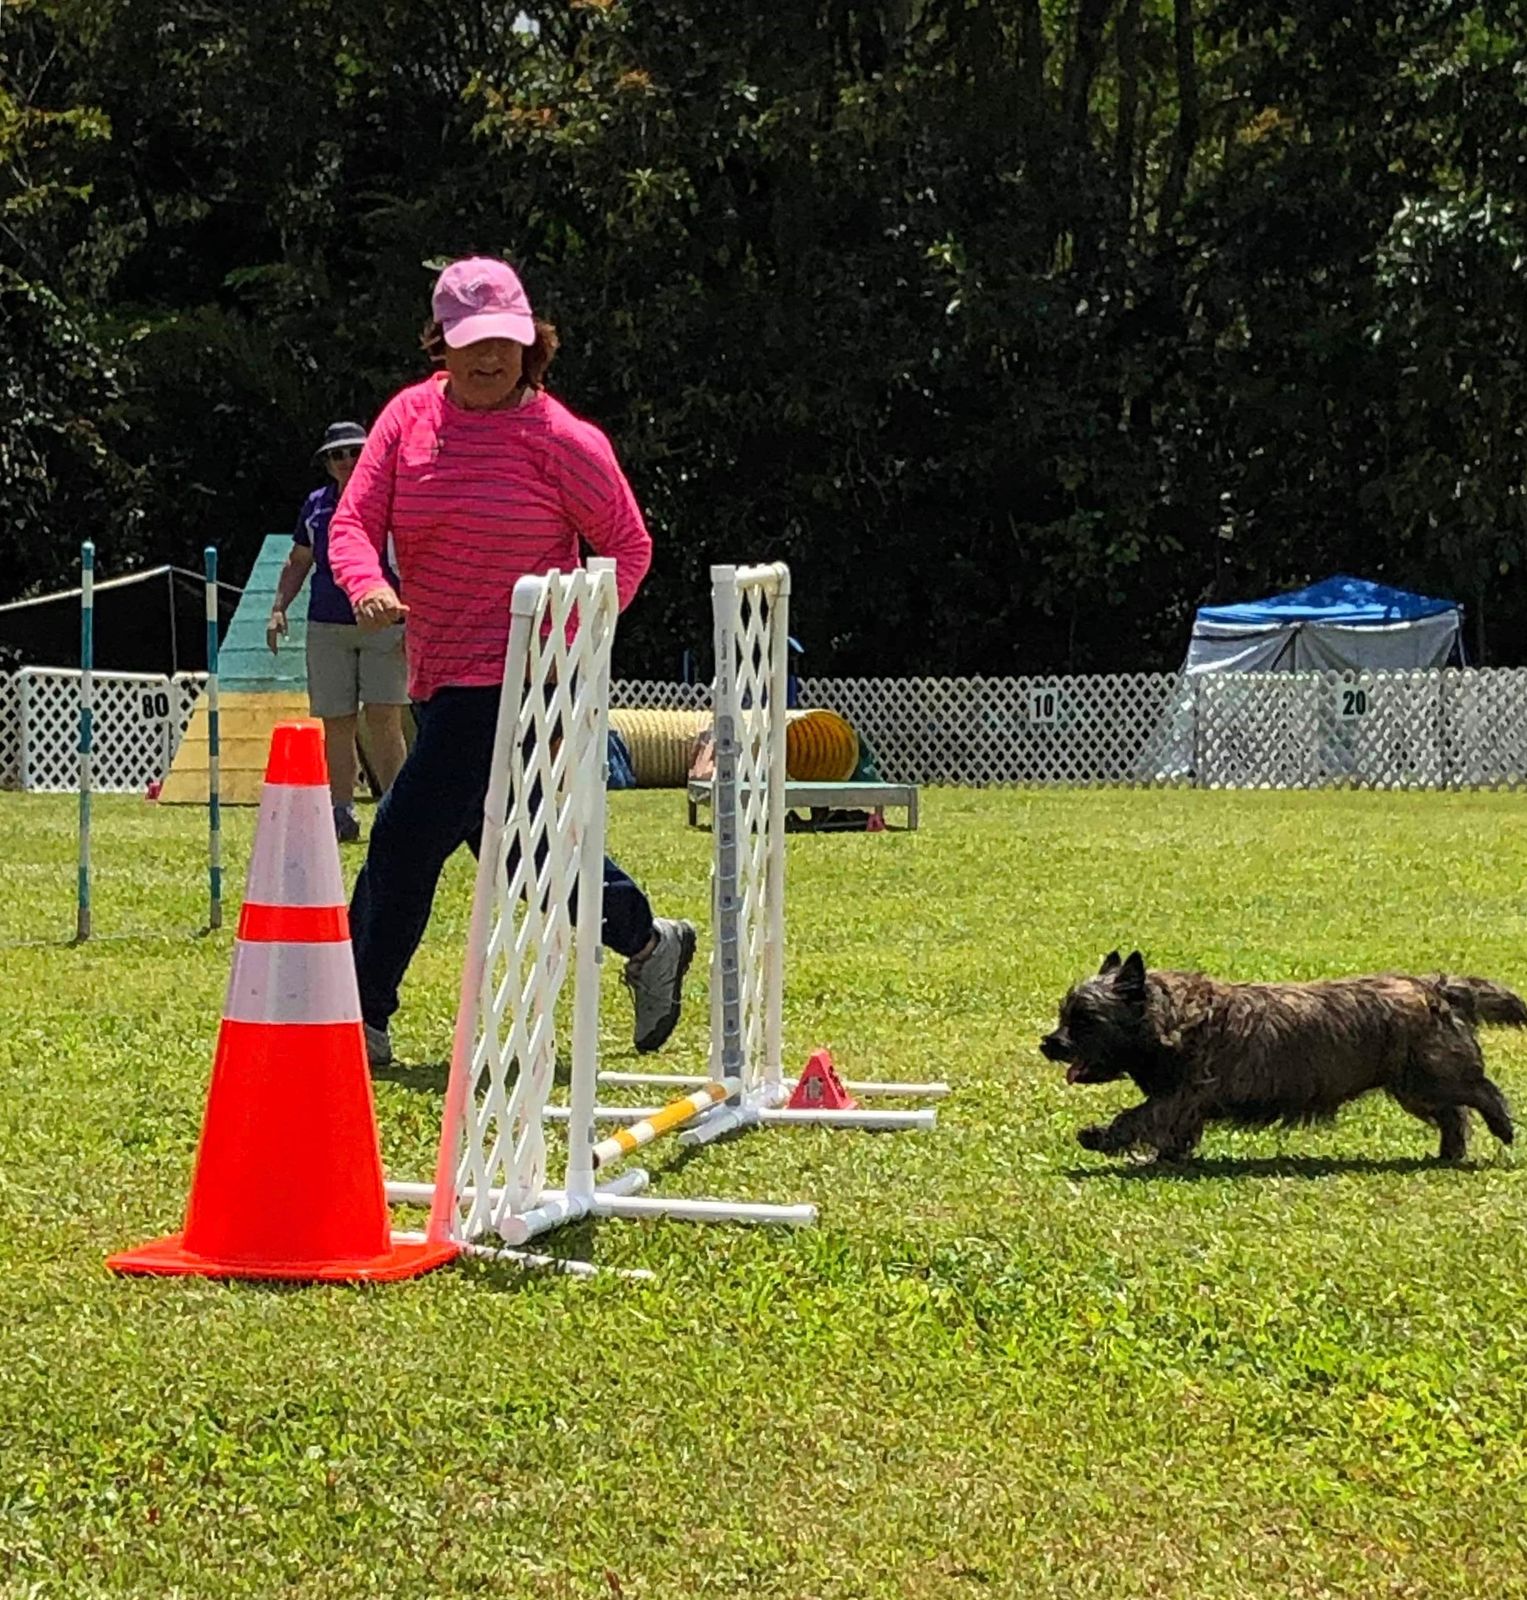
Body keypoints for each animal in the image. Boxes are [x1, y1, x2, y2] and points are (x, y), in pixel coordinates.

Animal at [1040, 951, 1522, 1162]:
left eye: (1086, 1020)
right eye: (1065, 1014)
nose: (1049, 1043)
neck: (1169, 1017)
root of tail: (1435, 988)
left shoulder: (1181, 1095)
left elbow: (1137, 1117)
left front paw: (1099, 1136)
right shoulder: (1184, 1105)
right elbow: (1173, 1133)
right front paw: (1166, 1158)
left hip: (1432, 1075)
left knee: (1480, 1091)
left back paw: (1503, 1126)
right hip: (1414, 1087)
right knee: (1453, 1115)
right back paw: (1449, 1153)